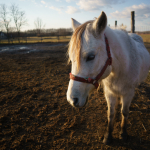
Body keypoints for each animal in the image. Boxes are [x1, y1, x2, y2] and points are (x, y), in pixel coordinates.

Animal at [66, 11, 150, 145]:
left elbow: (124, 112)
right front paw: (108, 136)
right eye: (71, 57)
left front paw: (123, 133)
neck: (121, 68)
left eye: (91, 56)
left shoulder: (128, 93)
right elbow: (110, 114)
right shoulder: (109, 93)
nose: (72, 99)